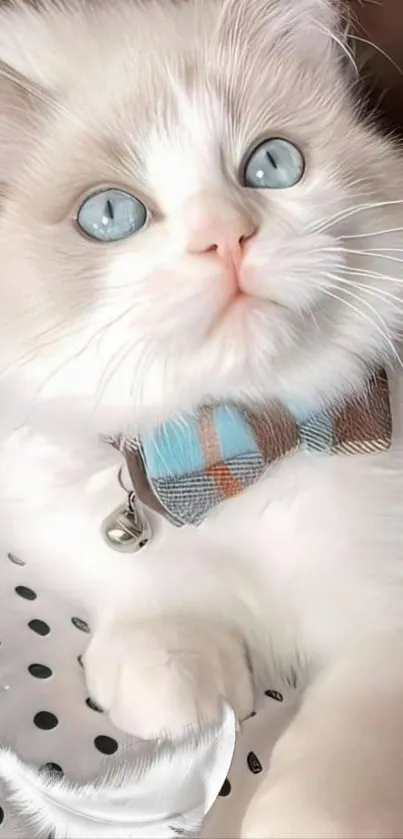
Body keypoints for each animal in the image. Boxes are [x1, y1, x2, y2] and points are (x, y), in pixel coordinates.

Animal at [2, 0, 403, 836]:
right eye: (110, 213)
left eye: (272, 165)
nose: (225, 236)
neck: (235, 448)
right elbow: (138, 579)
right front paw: (172, 668)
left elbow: (346, 750)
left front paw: (303, 818)